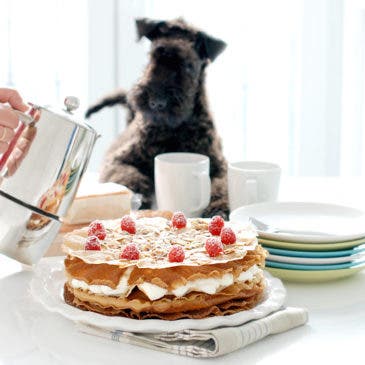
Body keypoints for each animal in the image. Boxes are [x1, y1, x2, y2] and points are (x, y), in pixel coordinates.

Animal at [86, 17, 228, 216]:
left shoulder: (219, 166)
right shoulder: (119, 160)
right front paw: (139, 198)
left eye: (189, 65)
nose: (156, 102)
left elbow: (221, 186)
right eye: (153, 55)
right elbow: (128, 175)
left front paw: (219, 207)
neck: (174, 130)